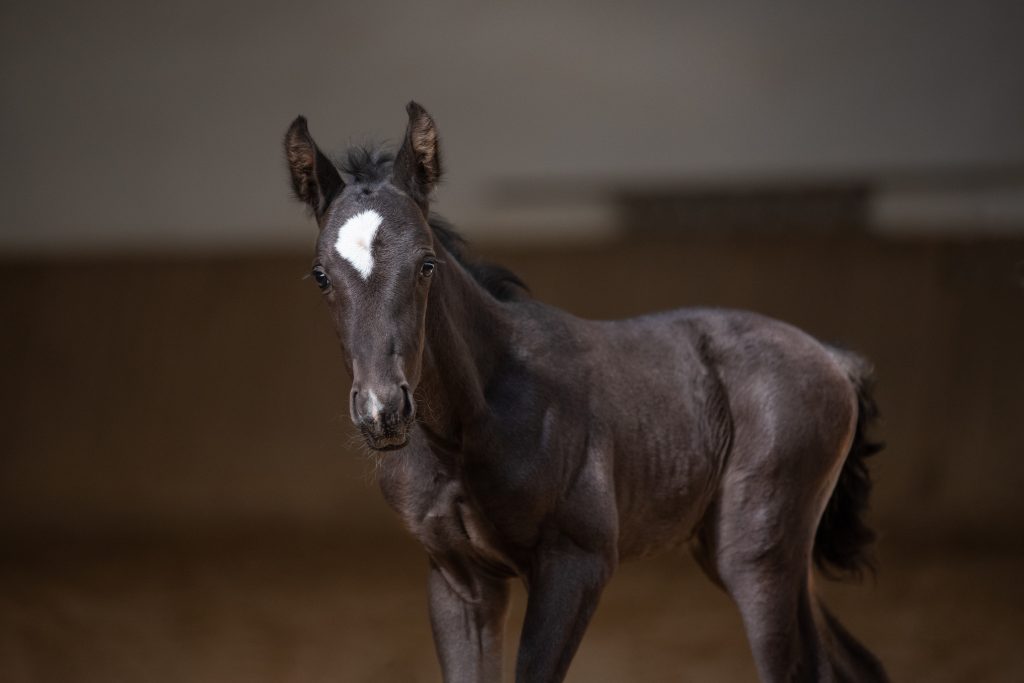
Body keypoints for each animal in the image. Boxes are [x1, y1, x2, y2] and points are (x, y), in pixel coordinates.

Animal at [282, 102, 888, 683]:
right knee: (856, 664)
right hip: (747, 553)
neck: (473, 424)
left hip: (757, 556)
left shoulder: (577, 565)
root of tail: (831, 358)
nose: (382, 411)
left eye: (425, 264)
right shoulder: (459, 579)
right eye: (321, 275)